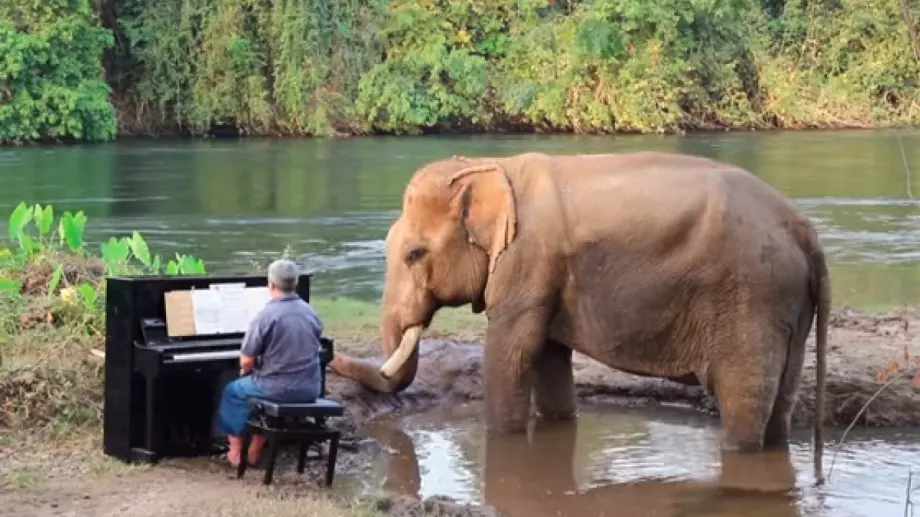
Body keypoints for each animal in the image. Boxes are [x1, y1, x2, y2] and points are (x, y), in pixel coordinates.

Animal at [332, 151, 832, 482]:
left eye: (414, 254)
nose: (331, 353)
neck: (490, 165)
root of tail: (806, 233)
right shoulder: (547, 278)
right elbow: (549, 358)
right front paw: (555, 425)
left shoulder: (526, 262)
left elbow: (511, 354)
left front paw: (503, 439)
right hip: (786, 307)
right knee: (781, 401)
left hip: (753, 296)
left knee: (743, 399)